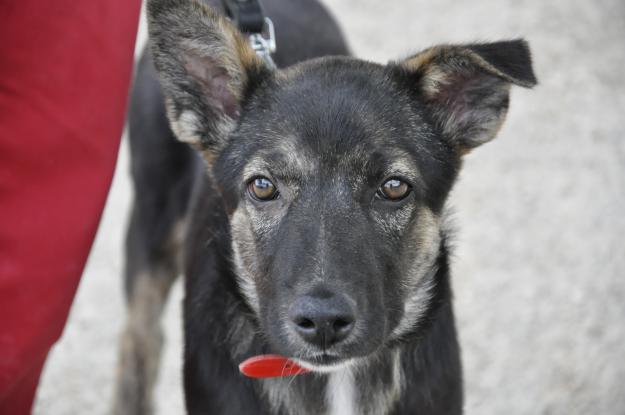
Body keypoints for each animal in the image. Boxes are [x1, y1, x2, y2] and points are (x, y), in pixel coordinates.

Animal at [111, 0, 532, 414]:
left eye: (394, 187)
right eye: (262, 186)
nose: (323, 321)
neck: (337, 379)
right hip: (153, 227)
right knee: (139, 341)